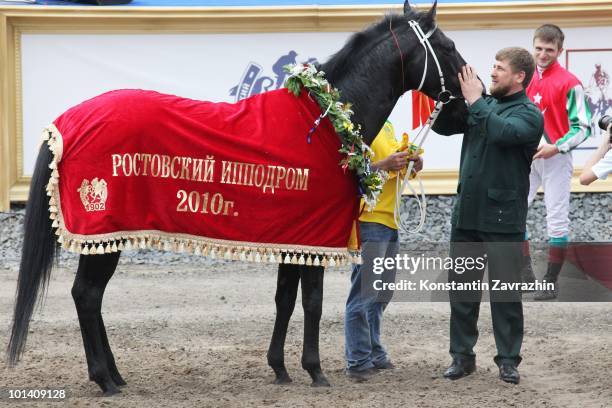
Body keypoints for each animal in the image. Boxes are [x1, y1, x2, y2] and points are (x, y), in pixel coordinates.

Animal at [7, 0, 468, 396]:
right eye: (447, 47)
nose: (464, 108)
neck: (324, 123)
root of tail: (66, 122)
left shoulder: (295, 237)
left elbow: (285, 300)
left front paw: (280, 367)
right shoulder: (317, 239)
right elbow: (313, 303)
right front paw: (315, 370)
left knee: (91, 297)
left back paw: (116, 374)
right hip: (103, 233)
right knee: (87, 295)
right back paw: (105, 379)